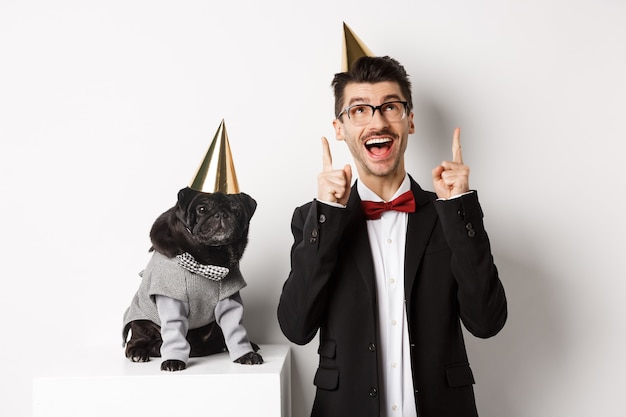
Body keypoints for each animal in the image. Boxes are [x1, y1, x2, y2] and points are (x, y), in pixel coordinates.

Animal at [123, 187, 262, 368]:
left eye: (237, 211)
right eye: (202, 209)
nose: (221, 214)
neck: (209, 258)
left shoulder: (229, 300)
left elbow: (235, 329)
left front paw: (246, 354)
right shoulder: (172, 299)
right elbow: (174, 333)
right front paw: (173, 360)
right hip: (141, 321)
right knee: (136, 340)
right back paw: (138, 352)